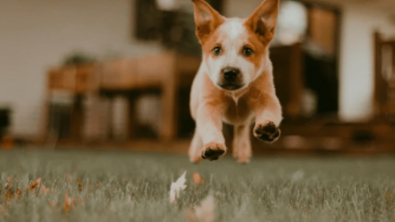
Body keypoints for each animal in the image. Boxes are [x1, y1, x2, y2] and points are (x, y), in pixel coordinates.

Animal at [190, 0, 284, 163]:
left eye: (247, 51)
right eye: (216, 50)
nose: (230, 72)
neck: (235, 93)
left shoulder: (266, 96)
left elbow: (269, 111)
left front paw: (267, 128)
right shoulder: (209, 104)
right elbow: (209, 126)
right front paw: (212, 146)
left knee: (242, 126)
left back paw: (243, 152)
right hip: (195, 103)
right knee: (198, 128)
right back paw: (195, 153)